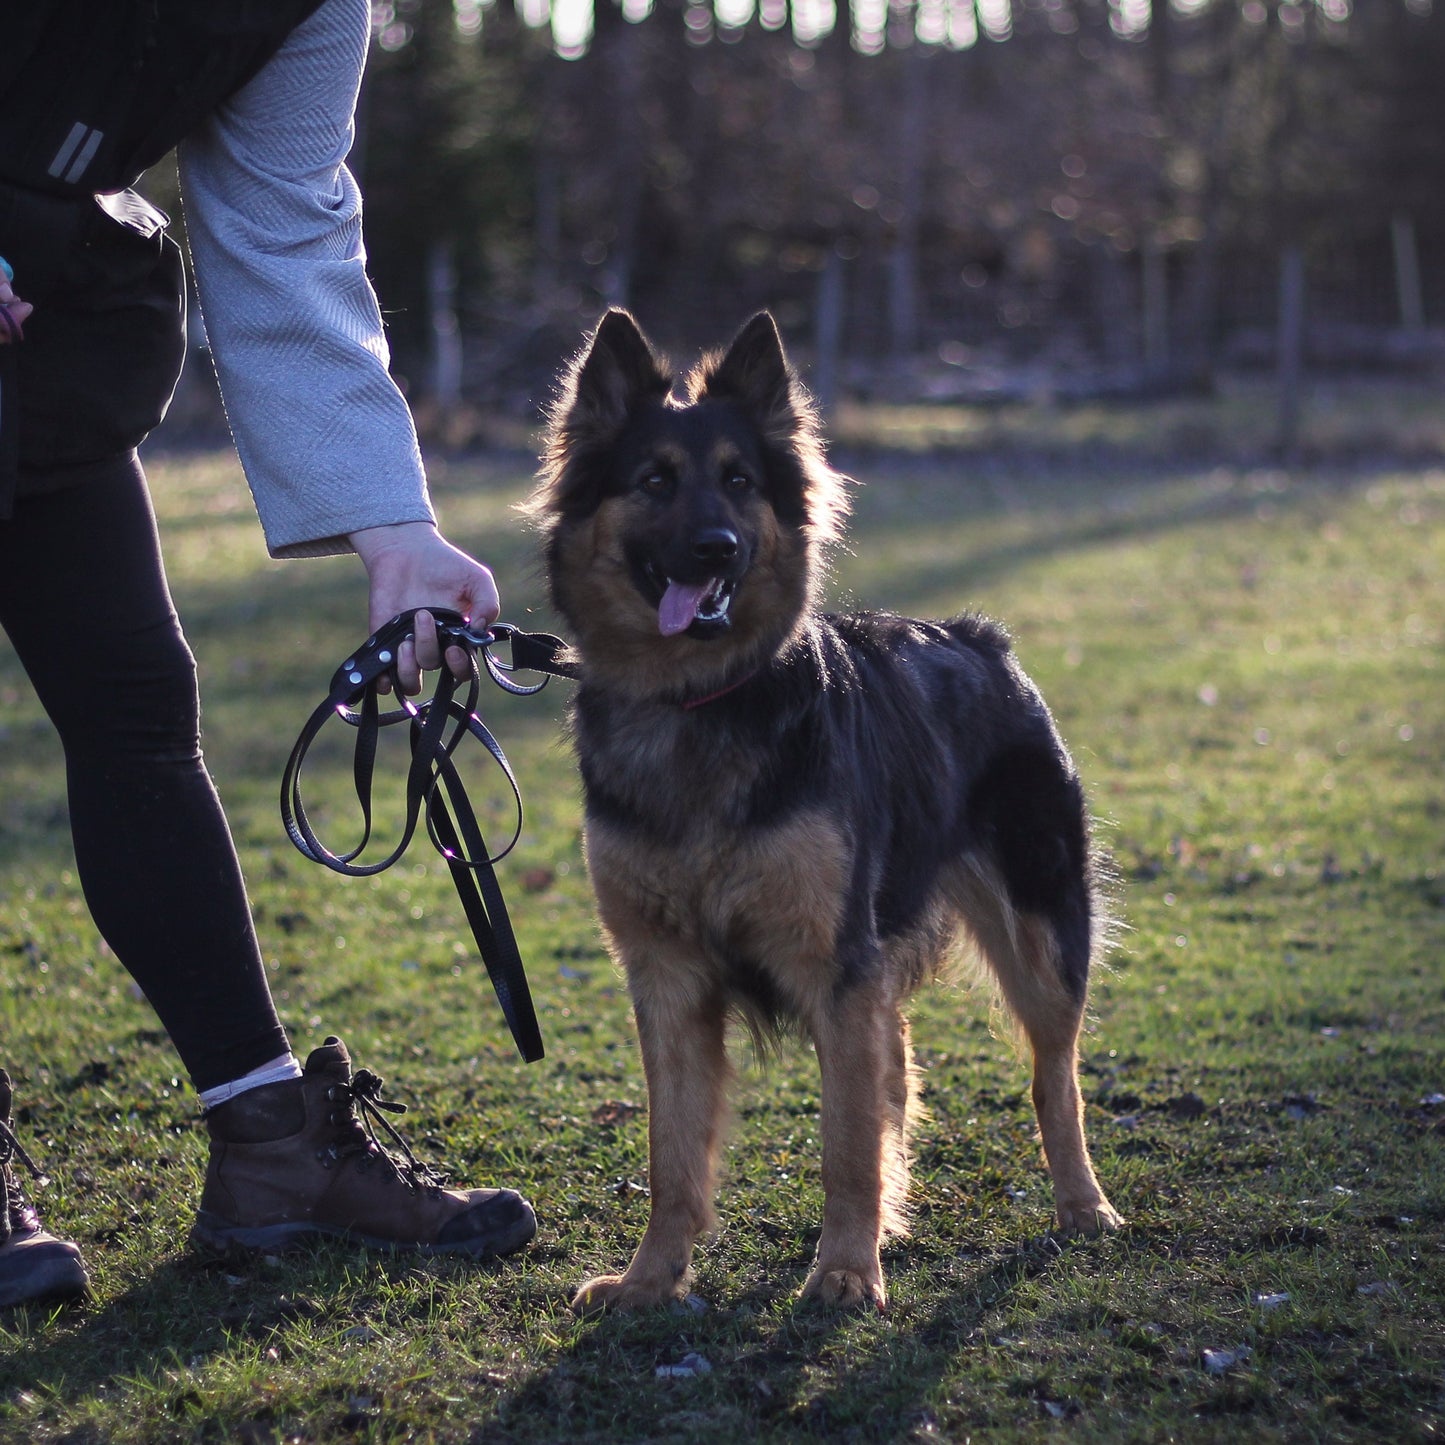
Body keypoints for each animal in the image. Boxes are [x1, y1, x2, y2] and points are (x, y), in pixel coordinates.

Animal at [528, 310, 1115, 1317]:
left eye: (739, 481)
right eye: (655, 481)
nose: (717, 548)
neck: (699, 701)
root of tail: (978, 638)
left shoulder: (833, 966)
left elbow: (845, 1142)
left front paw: (843, 1269)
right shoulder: (667, 977)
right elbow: (673, 1155)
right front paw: (650, 1278)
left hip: (1041, 940)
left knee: (1053, 1078)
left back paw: (1079, 1203)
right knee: (901, 1063)